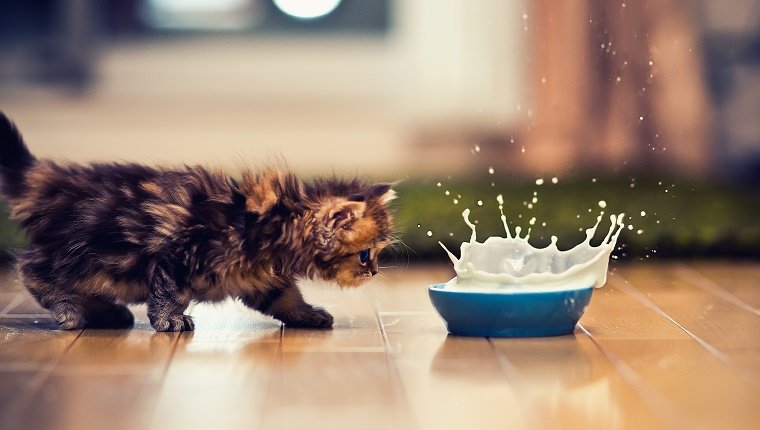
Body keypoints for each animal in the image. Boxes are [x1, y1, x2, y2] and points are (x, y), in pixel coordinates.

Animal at [1, 112, 398, 330]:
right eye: (366, 254)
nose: (375, 271)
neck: (273, 224)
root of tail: (51, 180)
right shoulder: (177, 254)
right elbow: (171, 294)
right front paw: (170, 321)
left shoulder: (263, 279)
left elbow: (287, 299)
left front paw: (309, 315)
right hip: (83, 256)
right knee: (32, 271)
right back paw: (69, 312)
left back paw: (109, 312)